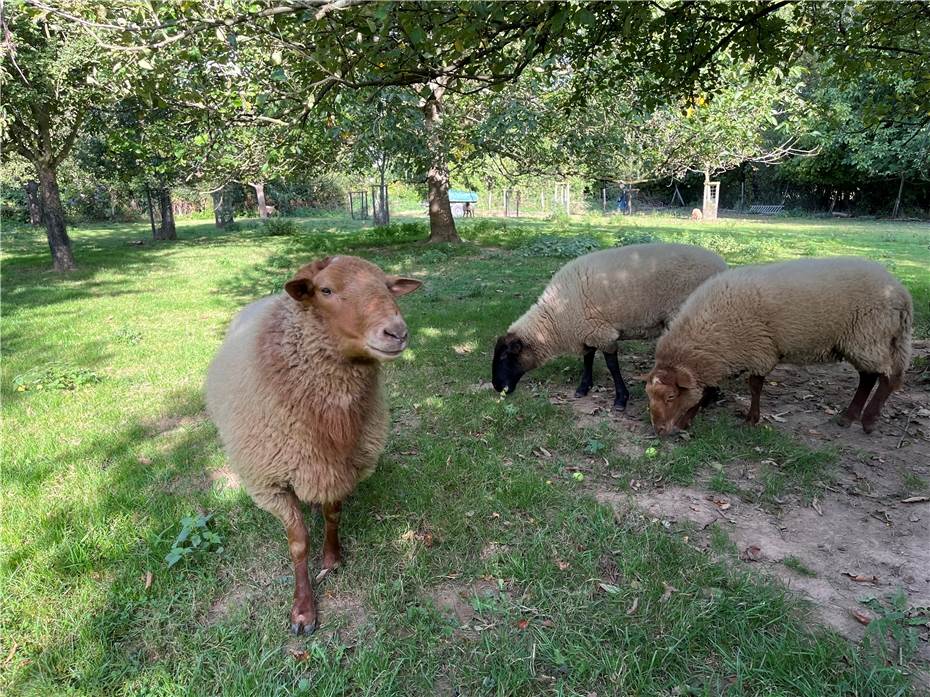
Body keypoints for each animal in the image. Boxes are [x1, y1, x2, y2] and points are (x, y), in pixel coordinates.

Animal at [207, 254, 420, 632]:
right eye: (326, 290)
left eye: (386, 285)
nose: (397, 332)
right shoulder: (271, 484)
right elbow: (298, 543)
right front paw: (303, 609)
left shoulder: (339, 466)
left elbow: (333, 515)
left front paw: (332, 558)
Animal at [490, 243, 728, 410]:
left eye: (505, 356)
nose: (496, 387)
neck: (556, 318)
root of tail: (723, 265)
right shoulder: (587, 331)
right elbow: (587, 359)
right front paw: (583, 388)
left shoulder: (604, 334)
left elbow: (612, 366)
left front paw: (621, 399)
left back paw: (710, 396)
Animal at [640, 256, 908, 436]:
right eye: (649, 395)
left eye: (671, 396)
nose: (658, 430)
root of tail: (899, 290)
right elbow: (705, 390)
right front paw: (688, 419)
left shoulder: (759, 350)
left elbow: (754, 386)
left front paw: (751, 419)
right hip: (862, 341)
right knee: (868, 377)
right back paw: (848, 417)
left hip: (870, 335)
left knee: (886, 377)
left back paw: (869, 421)